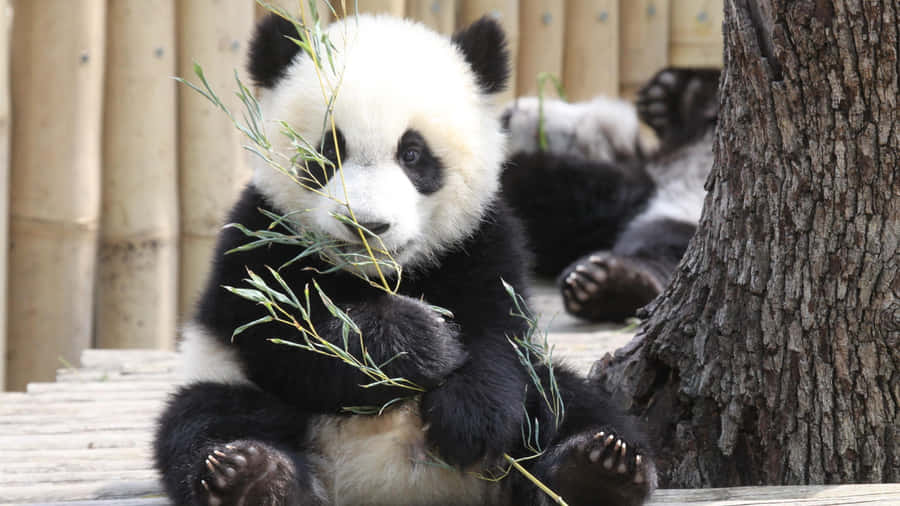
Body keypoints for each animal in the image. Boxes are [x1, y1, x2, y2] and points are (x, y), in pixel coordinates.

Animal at [154, 13, 656, 506]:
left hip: (539, 401)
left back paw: (594, 468)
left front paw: (469, 417)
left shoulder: (481, 238)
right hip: (229, 382)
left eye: (413, 154)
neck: (375, 276)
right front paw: (420, 339)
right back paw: (253, 476)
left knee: (568, 402)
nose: (367, 226)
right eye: (328, 152)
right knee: (206, 419)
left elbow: (499, 333)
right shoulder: (260, 235)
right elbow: (281, 334)